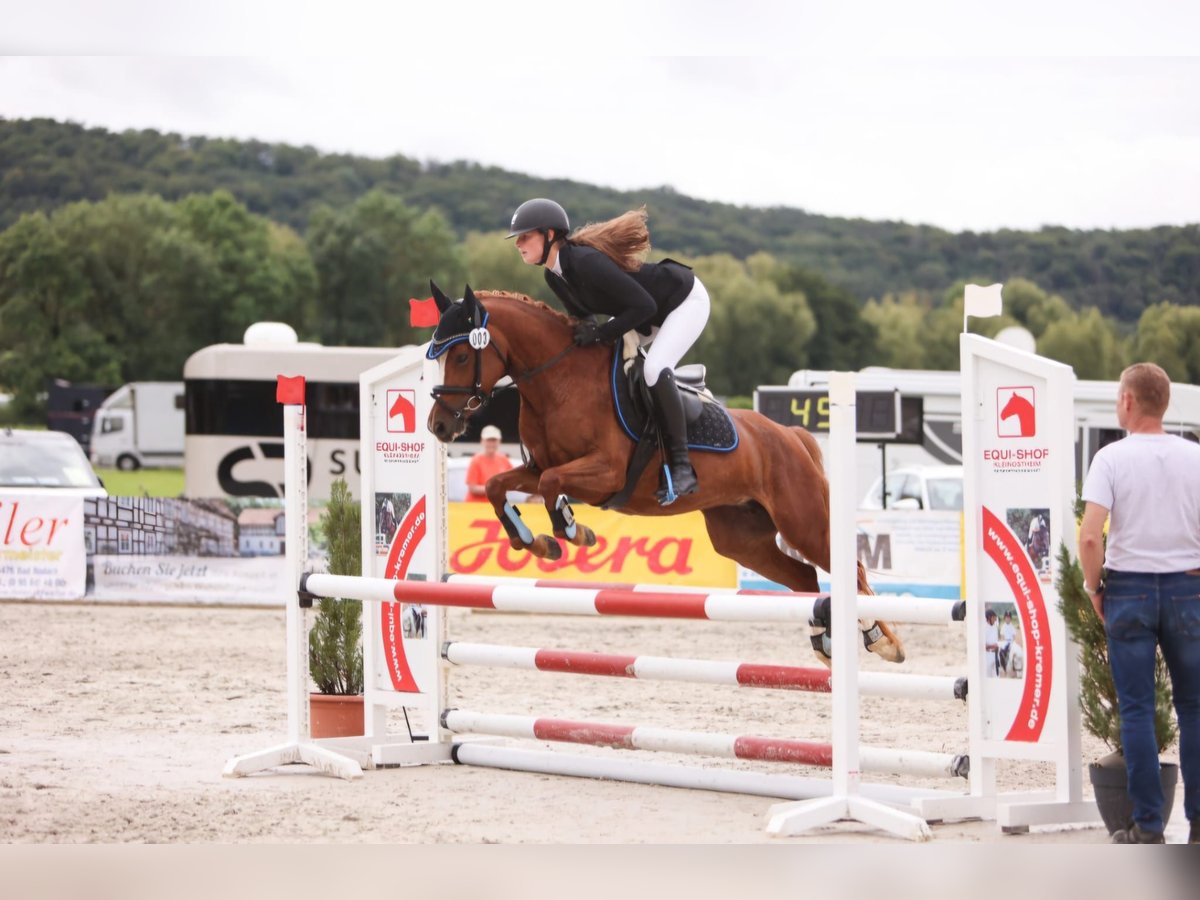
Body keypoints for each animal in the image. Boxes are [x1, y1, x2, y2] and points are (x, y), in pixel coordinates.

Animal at [427, 285, 902, 667]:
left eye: (463, 354)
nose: (438, 426)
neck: (559, 381)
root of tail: (791, 434)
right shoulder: (537, 466)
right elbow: (498, 486)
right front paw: (535, 541)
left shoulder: (604, 473)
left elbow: (550, 488)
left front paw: (573, 531)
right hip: (742, 538)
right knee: (804, 578)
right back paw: (826, 644)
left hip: (802, 521)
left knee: (851, 571)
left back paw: (881, 640)